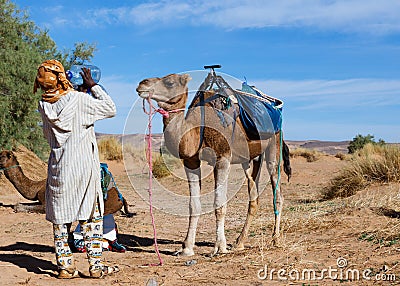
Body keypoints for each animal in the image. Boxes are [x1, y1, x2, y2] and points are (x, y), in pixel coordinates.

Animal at [137, 72, 290, 256]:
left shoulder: (223, 158)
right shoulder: (191, 161)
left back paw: (276, 239)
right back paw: (239, 242)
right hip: (251, 159)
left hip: (274, 145)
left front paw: (219, 247)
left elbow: (219, 204)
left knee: (277, 192)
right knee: (254, 197)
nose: (142, 84)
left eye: (170, 82)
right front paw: (187, 247)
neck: (197, 129)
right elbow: (193, 205)